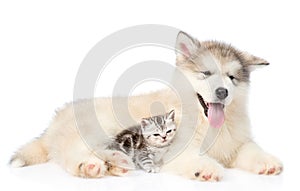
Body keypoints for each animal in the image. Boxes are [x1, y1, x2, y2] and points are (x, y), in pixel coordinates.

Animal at [8, 31, 282, 181]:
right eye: (206, 73)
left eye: (232, 78)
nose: (222, 92)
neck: (210, 125)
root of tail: (54, 121)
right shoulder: (175, 149)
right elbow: (194, 158)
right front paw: (205, 168)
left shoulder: (237, 143)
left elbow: (251, 150)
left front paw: (267, 162)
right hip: (97, 129)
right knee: (73, 152)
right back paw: (91, 165)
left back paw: (116, 166)